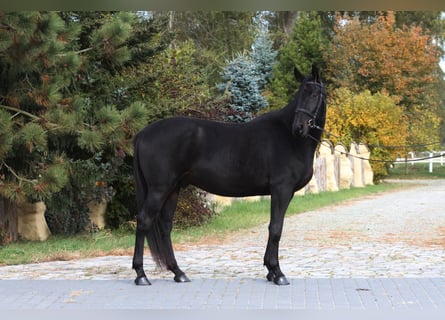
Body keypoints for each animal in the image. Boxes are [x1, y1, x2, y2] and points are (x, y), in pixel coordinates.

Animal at [132, 65, 326, 284]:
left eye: (315, 94)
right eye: (299, 95)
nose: (299, 128)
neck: (289, 138)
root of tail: (143, 134)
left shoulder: (281, 191)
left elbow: (273, 227)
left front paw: (270, 270)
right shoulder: (282, 189)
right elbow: (276, 228)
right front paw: (277, 272)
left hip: (173, 188)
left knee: (165, 225)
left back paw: (178, 272)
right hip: (160, 189)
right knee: (144, 220)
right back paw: (141, 275)